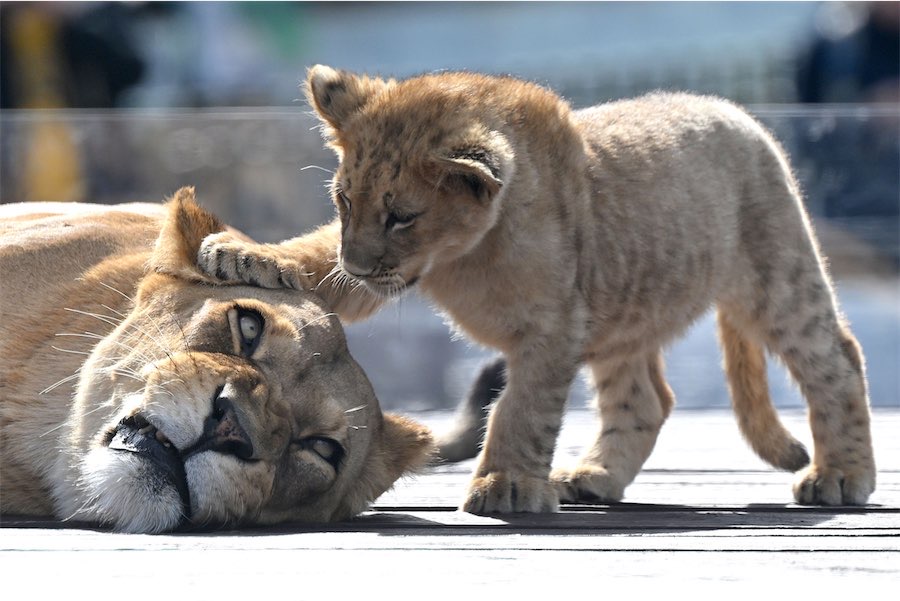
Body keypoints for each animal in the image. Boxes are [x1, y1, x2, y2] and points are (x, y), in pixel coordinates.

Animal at [198, 66, 876, 513]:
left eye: (402, 216)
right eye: (344, 202)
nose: (358, 264)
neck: (464, 254)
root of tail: (737, 113)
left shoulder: (552, 327)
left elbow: (521, 409)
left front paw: (507, 485)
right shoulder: (381, 276)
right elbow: (312, 253)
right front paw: (239, 252)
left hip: (777, 278)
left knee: (839, 360)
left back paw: (841, 477)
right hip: (621, 315)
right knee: (647, 401)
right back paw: (595, 476)